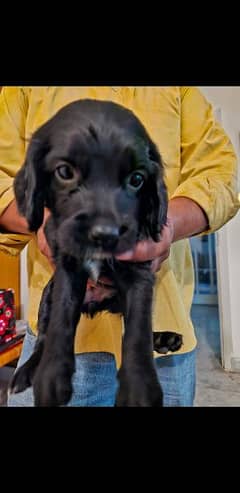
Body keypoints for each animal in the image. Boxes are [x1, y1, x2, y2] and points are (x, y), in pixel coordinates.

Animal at [9, 98, 182, 406]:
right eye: (65, 172)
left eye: (137, 179)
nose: (106, 235)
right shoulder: (67, 270)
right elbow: (60, 321)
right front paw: (51, 377)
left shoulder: (140, 273)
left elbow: (137, 332)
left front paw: (139, 389)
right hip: (47, 294)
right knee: (43, 335)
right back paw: (28, 371)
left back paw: (163, 338)